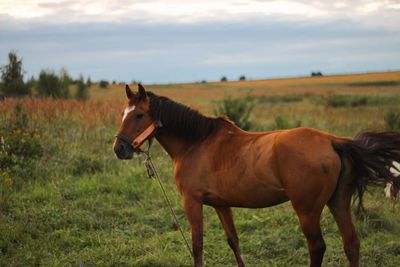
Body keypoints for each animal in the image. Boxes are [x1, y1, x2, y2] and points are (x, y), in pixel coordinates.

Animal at [112, 85, 400, 267]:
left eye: (139, 115)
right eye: (122, 113)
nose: (119, 149)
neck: (196, 142)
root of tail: (332, 141)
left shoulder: (192, 202)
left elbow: (197, 245)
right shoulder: (221, 204)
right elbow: (233, 241)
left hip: (307, 211)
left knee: (317, 247)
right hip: (338, 203)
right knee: (351, 244)